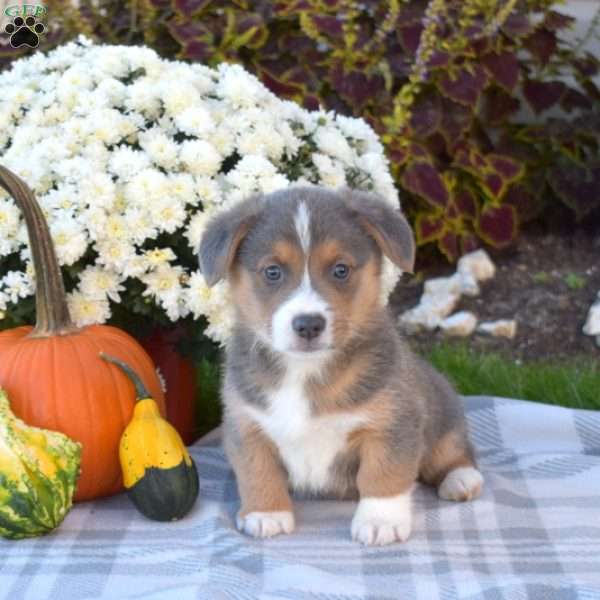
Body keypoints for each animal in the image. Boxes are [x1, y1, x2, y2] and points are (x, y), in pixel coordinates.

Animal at [199, 189, 486, 548]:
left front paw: (380, 521)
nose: (308, 325)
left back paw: (461, 479)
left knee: (454, 450)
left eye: (340, 270)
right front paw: (266, 514)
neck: (304, 371)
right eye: (272, 272)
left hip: (444, 420)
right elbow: (257, 472)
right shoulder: (247, 426)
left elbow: (383, 474)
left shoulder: (391, 425)